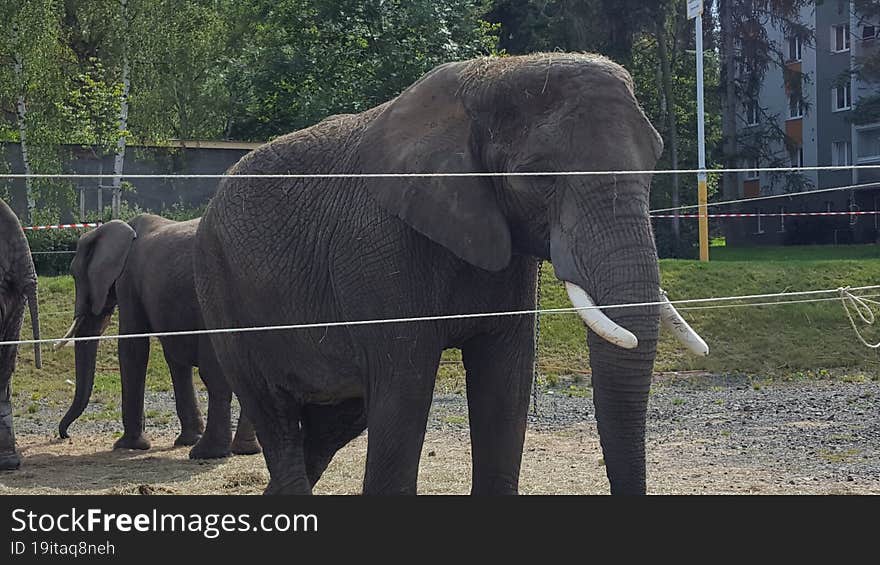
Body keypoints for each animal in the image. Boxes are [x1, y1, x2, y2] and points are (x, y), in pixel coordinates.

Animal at [55, 215, 260, 458]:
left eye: (75, 274)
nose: (64, 436)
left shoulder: (128, 280)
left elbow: (133, 346)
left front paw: (128, 446)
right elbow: (174, 358)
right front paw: (186, 440)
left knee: (216, 375)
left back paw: (208, 453)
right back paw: (245, 450)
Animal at [194, 53, 708, 494]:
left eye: (655, 161)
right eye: (540, 176)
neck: (488, 79)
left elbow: (505, 379)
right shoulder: (381, 243)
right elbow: (406, 383)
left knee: (330, 427)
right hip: (220, 290)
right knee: (275, 415)